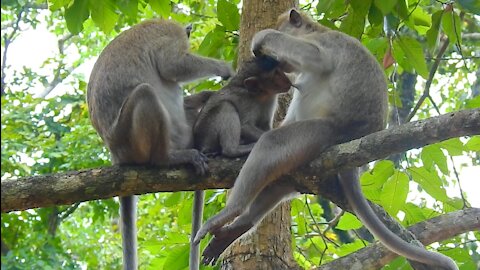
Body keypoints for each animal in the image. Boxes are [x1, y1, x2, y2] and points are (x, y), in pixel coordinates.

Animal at [87, 19, 234, 270]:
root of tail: (115, 154)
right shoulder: (172, 34)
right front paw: (224, 68)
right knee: (145, 93)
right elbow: (172, 66)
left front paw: (208, 92)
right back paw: (167, 158)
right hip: (130, 138)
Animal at [188, 56, 292, 268]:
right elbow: (245, 125)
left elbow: (264, 126)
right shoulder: (248, 101)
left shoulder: (270, 100)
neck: (261, 95)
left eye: (279, 70)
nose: (287, 80)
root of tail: (200, 145)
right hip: (209, 131)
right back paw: (236, 149)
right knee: (225, 107)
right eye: (275, 74)